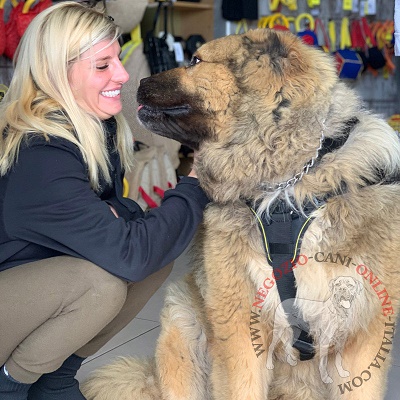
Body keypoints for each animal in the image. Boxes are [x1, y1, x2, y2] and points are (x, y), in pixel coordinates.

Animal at [81, 28, 400, 400]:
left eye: (195, 60)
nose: (136, 79)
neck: (287, 186)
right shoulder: (240, 327)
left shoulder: (363, 334)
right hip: (182, 317)